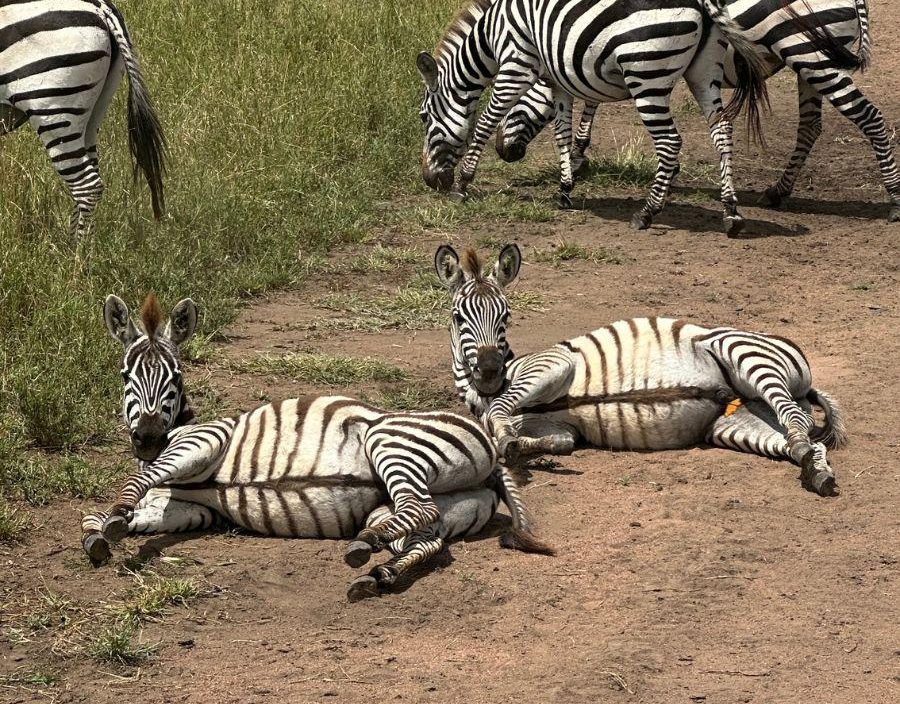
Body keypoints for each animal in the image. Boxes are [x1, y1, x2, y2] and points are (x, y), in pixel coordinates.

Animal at [82, 294, 552, 601]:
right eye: (125, 376)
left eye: (175, 377)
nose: (148, 438)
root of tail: (492, 450)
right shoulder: (194, 510)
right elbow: (107, 513)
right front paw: (103, 530)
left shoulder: (207, 440)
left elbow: (136, 483)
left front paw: (116, 516)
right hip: (432, 506)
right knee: (428, 537)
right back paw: (379, 569)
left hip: (390, 443)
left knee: (420, 509)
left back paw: (368, 546)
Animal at [417, 0, 769, 235]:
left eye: (423, 118)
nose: (430, 181)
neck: (489, 36)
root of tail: (702, 3)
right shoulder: (556, 81)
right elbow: (561, 133)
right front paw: (564, 189)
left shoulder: (516, 66)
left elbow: (485, 123)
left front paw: (463, 184)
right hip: (704, 73)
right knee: (722, 131)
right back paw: (731, 211)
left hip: (648, 75)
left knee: (670, 142)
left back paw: (647, 213)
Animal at [433, 243, 847, 497]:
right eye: (458, 317)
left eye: (505, 317)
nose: (490, 373)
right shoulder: (560, 428)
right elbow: (556, 440)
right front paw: (520, 445)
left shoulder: (553, 363)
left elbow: (501, 410)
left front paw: (507, 439)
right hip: (738, 424)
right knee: (804, 441)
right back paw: (817, 473)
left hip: (743, 352)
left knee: (795, 419)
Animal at [495, 1, 899, 221]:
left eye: (516, 100)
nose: (503, 152)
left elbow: (591, 98)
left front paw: (579, 156)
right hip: (809, 63)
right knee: (811, 126)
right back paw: (777, 191)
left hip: (811, 57)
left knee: (867, 116)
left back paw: (894, 200)